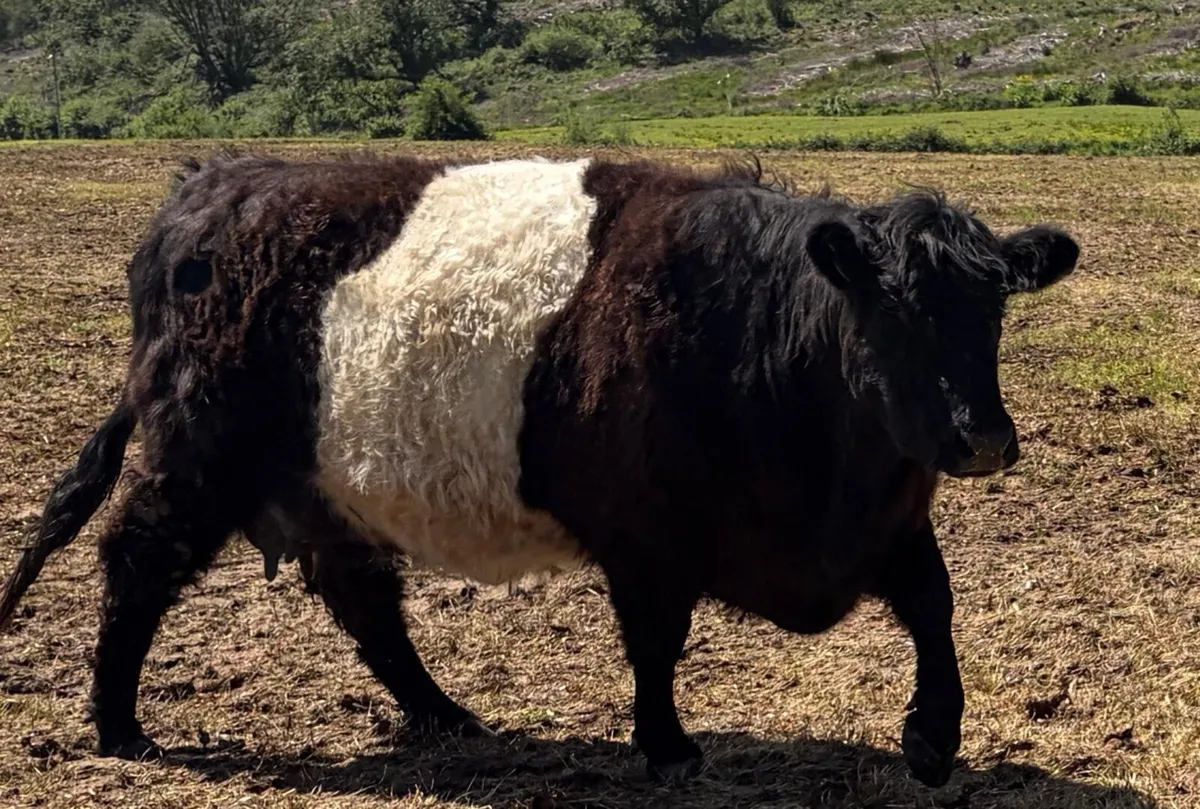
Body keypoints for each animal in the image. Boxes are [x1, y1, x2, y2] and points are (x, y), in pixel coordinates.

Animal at [0, 151, 1079, 788]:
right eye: (895, 312)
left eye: (993, 310)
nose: (984, 437)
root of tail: (205, 185)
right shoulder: (646, 535)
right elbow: (656, 643)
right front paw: (667, 746)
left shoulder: (889, 517)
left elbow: (934, 606)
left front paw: (934, 737)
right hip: (201, 454)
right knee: (139, 558)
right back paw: (118, 722)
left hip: (323, 487)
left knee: (363, 600)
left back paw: (448, 716)